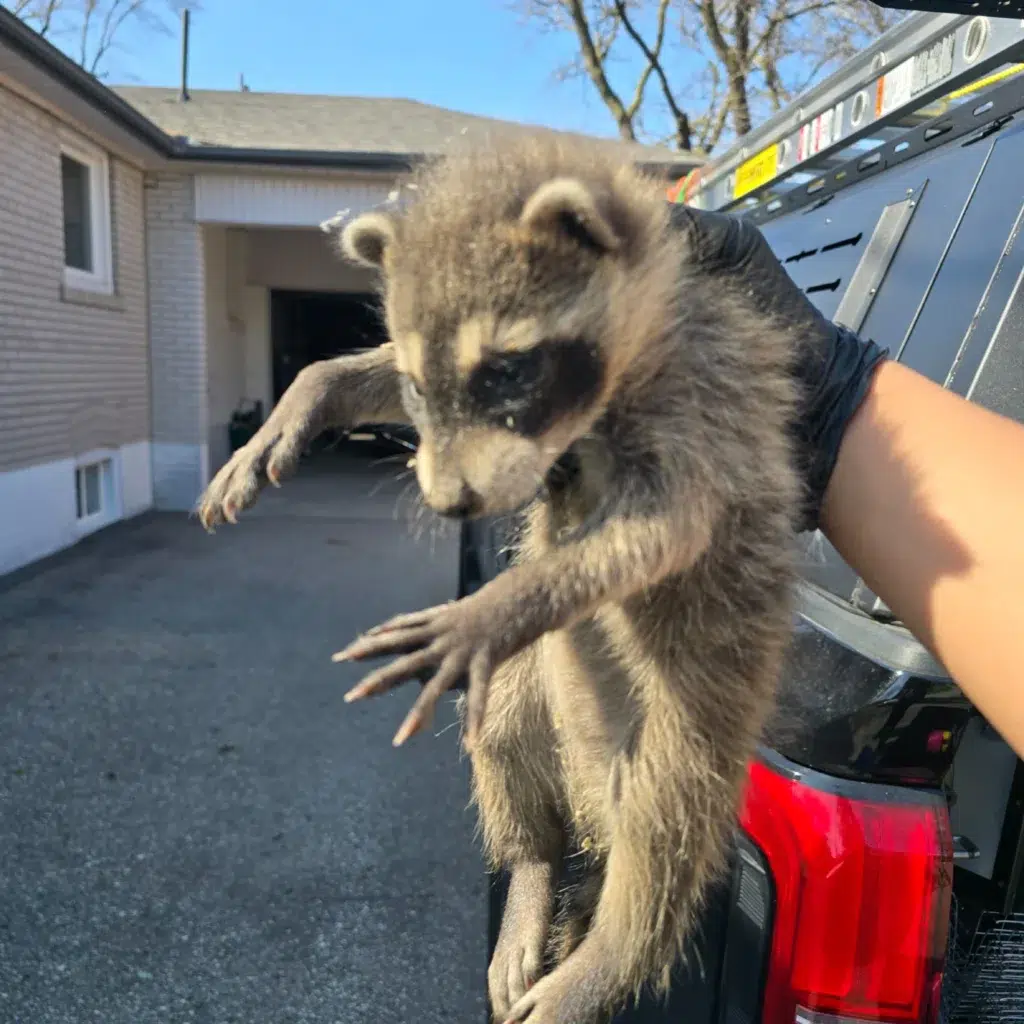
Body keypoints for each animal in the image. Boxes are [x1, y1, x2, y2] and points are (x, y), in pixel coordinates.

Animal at [197, 132, 802, 1024]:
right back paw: (531, 868)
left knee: (661, 849)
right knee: (504, 740)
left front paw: (494, 606)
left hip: (692, 739)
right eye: (417, 385)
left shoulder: (702, 406)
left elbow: (664, 531)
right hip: (527, 691)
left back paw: (599, 966)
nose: (451, 503)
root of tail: (591, 806)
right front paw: (304, 397)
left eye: (509, 370)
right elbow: (348, 374)